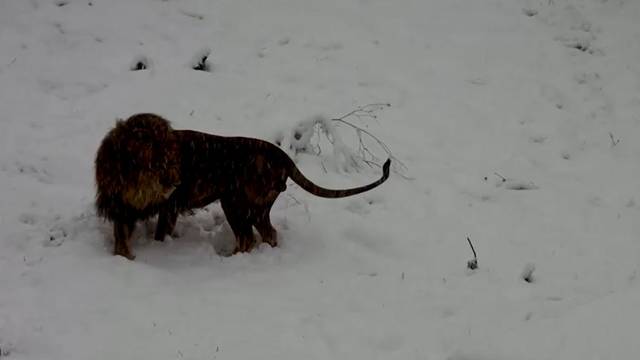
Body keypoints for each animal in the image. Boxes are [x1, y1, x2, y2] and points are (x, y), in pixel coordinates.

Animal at [95, 113, 390, 258]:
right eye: (157, 157)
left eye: (170, 156)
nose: (175, 179)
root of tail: (280, 156)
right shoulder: (122, 209)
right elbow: (121, 240)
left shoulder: (168, 207)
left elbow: (158, 234)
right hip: (254, 209)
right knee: (267, 234)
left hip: (235, 203)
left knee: (248, 237)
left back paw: (230, 258)